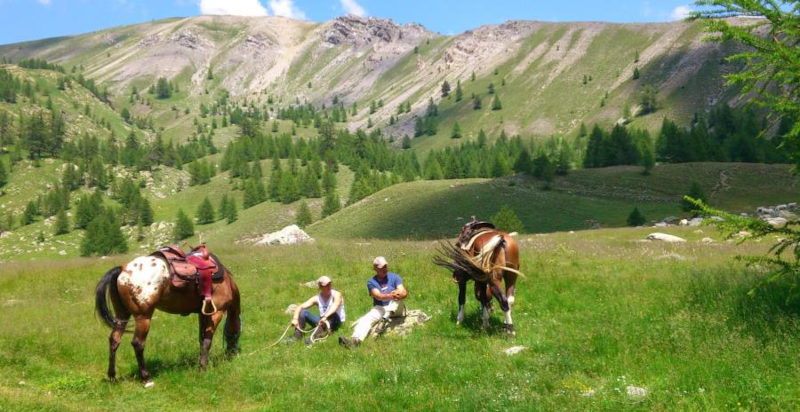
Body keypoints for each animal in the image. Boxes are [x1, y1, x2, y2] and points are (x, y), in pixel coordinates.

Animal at [94, 248, 241, 387]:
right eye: (237, 334)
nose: (232, 353)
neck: (226, 282)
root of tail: (123, 269)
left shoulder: (203, 313)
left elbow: (201, 339)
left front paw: (201, 363)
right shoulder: (217, 313)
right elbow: (207, 341)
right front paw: (202, 369)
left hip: (122, 315)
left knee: (114, 339)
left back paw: (112, 376)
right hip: (143, 317)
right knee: (138, 343)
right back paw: (146, 379)